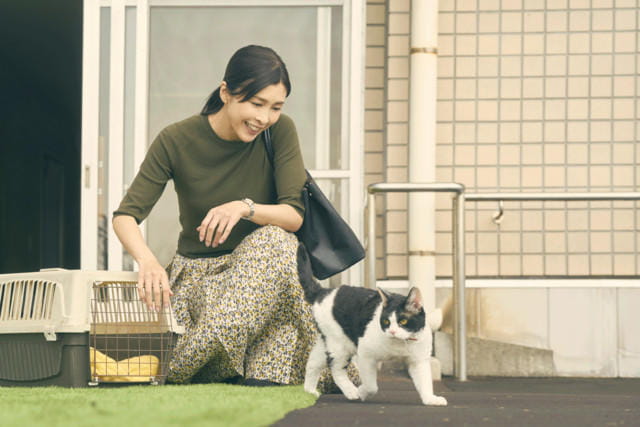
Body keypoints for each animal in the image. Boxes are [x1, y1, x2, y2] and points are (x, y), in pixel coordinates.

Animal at [298, 244, 448, 408]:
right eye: (386, 322)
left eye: (402, 321)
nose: (392, 331)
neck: (399, 345)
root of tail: (323, 292)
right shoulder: (366, 354)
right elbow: (371, 386)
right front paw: (362, 392)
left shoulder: (419, 361)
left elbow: (425, 382)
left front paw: (430, 399)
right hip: (340, 346)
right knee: (336, 369)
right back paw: (351, 391)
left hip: (328, 341)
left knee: (312, 363)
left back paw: (309, 392)